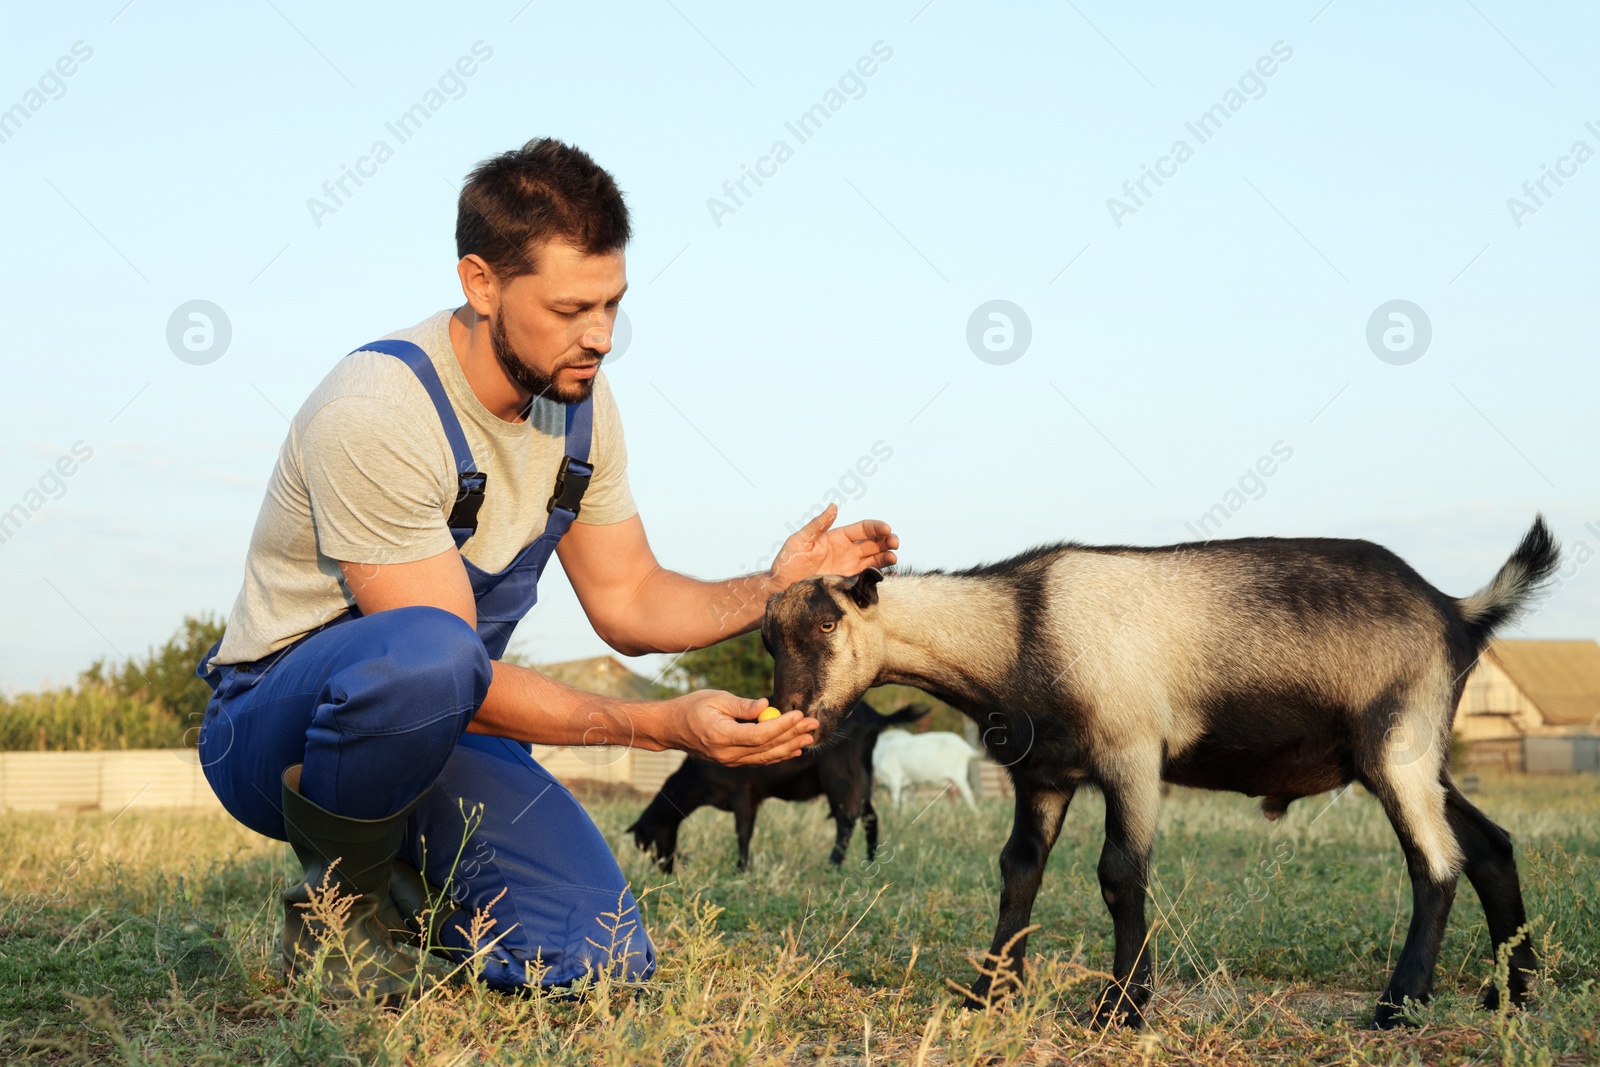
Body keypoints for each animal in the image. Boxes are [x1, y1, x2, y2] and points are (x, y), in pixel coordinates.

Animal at [624, 700, 928, 870]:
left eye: (645, 844)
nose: (666, 870)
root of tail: (876, 717)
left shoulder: (742, 793)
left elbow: (743, 832)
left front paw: (741, 868)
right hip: (862, 776)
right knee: (870, 817)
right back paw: (870, 860)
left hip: (842, 776)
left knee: (846, 820)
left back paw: (833, 865)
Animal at [764, 521, 1561, 1030]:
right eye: (769, 638)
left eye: (829, 625)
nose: (795, 713)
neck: (1021, 626)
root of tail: (1457, 609)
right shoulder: (1043, 773)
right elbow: (1019, 870)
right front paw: (989, 995)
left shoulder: (1132, 752)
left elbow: (1120, 874)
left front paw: (1120, 1009)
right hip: (1412, 753)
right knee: (1489, 844)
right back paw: (1513, 994)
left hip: (1397, 740)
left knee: (1436, 862)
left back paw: (1400, 1006)